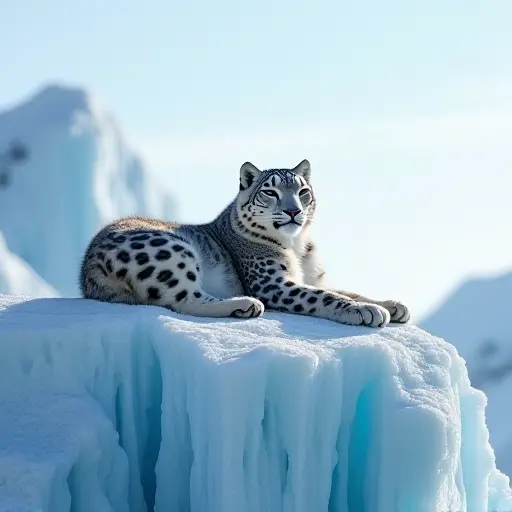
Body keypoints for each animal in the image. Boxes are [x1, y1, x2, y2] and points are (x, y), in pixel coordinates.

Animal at [80, 160, 410, 328]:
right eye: (270, 192)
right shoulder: (272, 283)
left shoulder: (313, 277)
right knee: (183, 300)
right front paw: (365, 311)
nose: (293, 211)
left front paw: (391, 305)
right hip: (171, 251)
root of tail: (88, 269)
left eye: (302, 191)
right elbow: (324, 296)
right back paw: (245, 305)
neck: (297, 246)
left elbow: (344, 289)